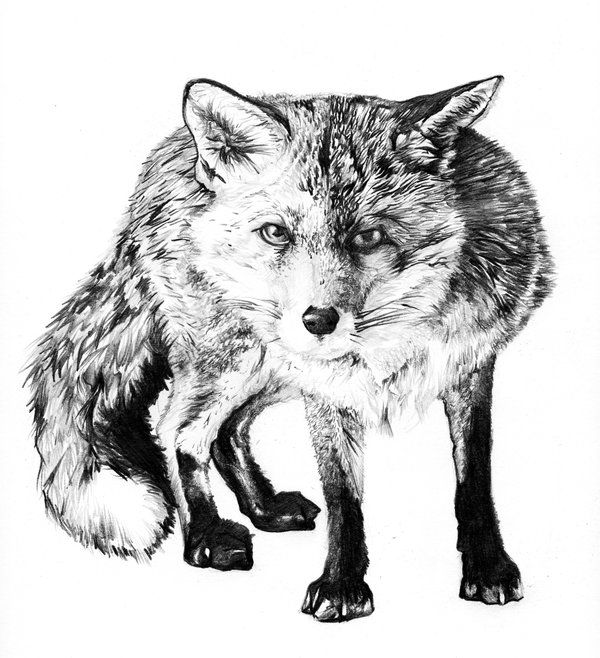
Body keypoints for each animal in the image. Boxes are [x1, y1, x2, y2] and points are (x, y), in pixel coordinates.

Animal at [27, 75, 554, 622]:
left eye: (369, 236)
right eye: (276, 232)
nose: (318, 321)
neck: (393, 332)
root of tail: (171, 158)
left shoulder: (468, 366)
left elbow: (474, 479)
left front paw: (488, 567)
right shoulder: (326, 388)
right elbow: (344, 496)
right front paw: (343, 585)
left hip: (270, 367)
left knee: (226, 431)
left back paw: (263, 508)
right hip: (233, 357)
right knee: (178, 430)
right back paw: (206, 534)